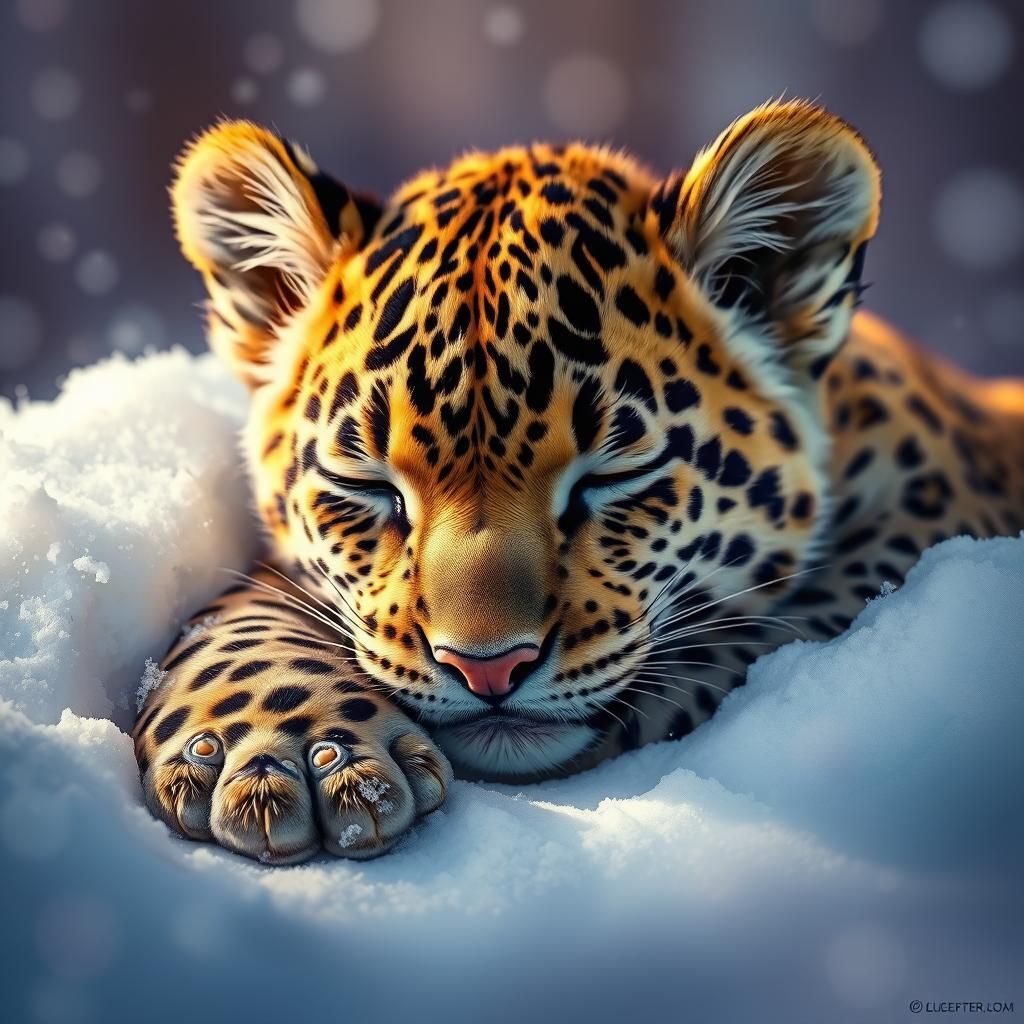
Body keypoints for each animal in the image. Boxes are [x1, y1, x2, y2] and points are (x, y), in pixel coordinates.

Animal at [133, 100, 1024, 863]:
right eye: (369, 485)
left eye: (613, 474)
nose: (487, 671)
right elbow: (247, 609)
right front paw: (283, 752)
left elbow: (742, 645)